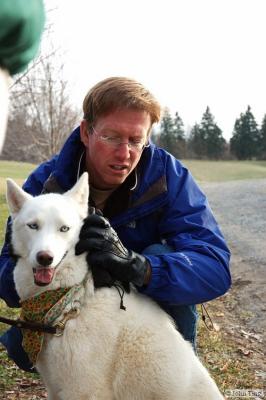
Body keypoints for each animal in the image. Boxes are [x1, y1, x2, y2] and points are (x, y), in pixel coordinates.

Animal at [6, 173, 223, 400]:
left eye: (64, 229)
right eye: (33, 226)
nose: (45, 258)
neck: (72, 303)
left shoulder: (84, 391)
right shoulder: (55, 388)